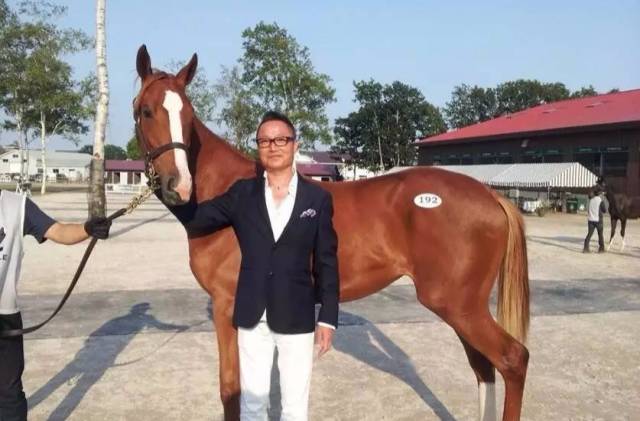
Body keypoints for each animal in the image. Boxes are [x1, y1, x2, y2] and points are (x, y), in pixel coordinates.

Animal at [132, 45, 530, 421]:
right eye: (147, 111)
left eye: (187, 116)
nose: (179, 185)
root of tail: (491, 195)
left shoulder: (227, 305)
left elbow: (231, 390)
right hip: (463, 309)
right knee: (483, 368)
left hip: (458, 306)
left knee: (513, 359)